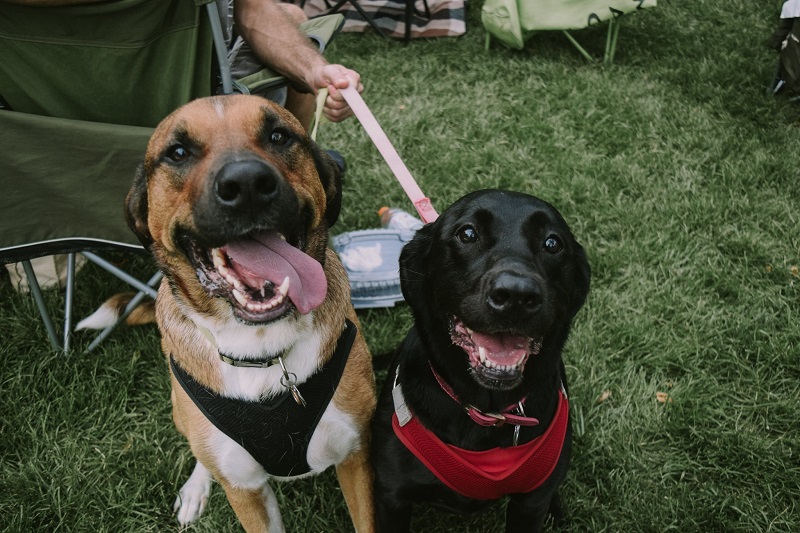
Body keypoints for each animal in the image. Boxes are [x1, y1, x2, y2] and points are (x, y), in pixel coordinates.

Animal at [122, 95, 378, 532]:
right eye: (178, 152)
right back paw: (196, 488)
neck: (263, 349)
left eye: (278, 136)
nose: (246, 186)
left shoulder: (356, 454)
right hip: (181, 413)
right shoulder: (246, 491)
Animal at [368, 189, 588, 528]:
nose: (516, 295)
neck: (484, 408)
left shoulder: (531, 503)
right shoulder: (391, 497)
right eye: (468, 234)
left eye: (553, 243)